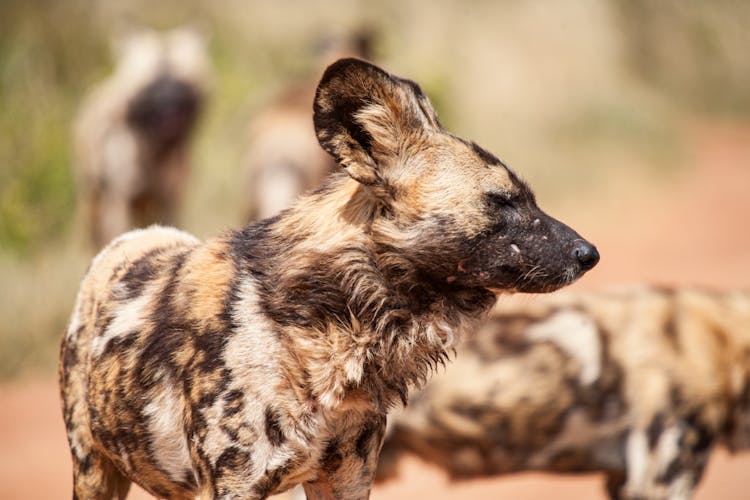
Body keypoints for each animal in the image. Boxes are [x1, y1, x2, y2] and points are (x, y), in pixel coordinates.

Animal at [58, 56, 600, 498]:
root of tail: (128, 241)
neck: (336, 323)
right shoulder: (235, 484)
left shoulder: (346, 477)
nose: (589, 254)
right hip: (94, 473)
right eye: (502, 201)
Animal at [74, 25, 212, 248]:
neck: (153, 151)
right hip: (94, 201)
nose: (170, 100)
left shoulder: (169, 200)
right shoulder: (120, 201)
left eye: (182, 81)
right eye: (151, 84)